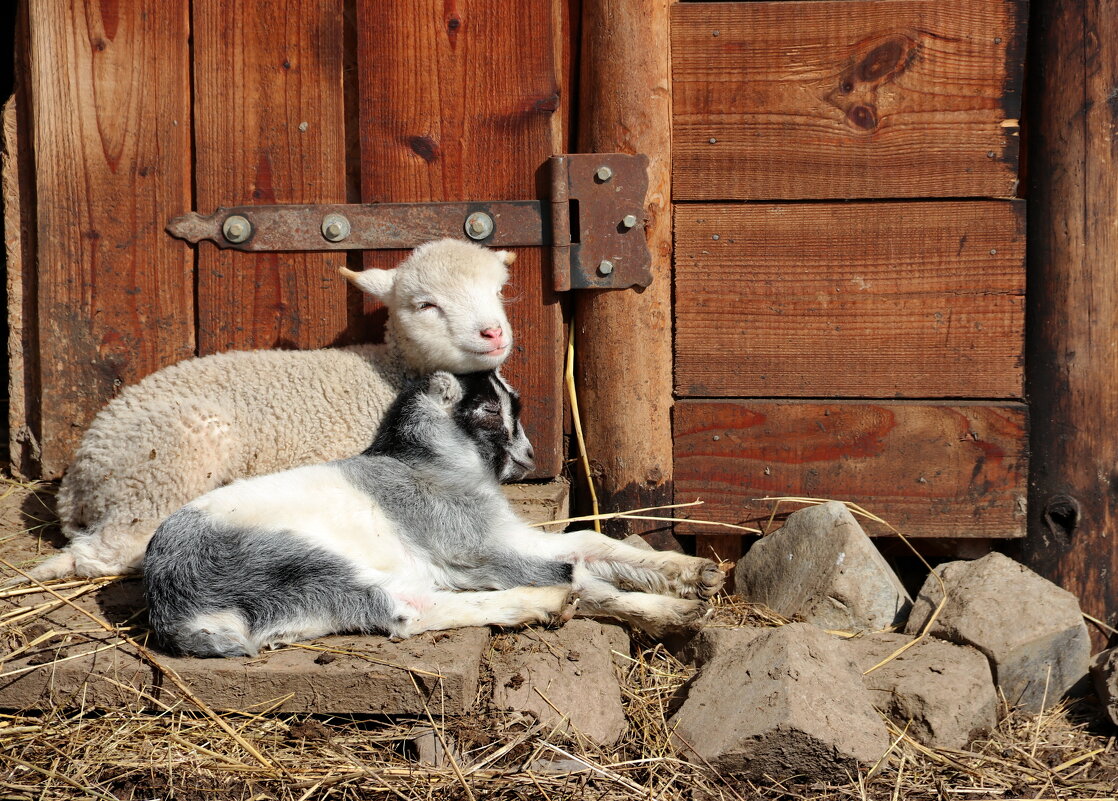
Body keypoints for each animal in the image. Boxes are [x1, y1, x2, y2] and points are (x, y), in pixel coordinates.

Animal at [22, 238, 514, 581]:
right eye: (425, 305)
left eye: (497, 292)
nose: (493, 333)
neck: (386, 372)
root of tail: (75, 485)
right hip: (163, 466)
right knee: (103, 552)